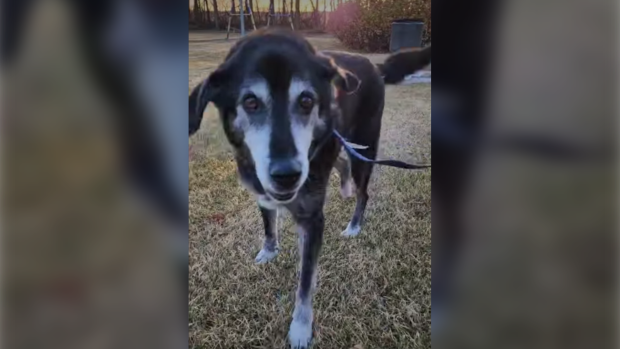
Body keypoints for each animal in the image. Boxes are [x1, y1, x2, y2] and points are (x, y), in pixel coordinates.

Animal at [189, 28, 432, 346]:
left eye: (306, 101)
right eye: (251, 102)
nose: (287, 175)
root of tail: (373, 67)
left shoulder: (313, 220)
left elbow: (305, 282)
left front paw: (301, 328)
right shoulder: (264, 193)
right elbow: (269, 224)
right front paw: (269, 251)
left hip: (365, 148)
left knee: (363, 190)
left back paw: (354, 223)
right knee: (340, 161)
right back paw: (343, 187)